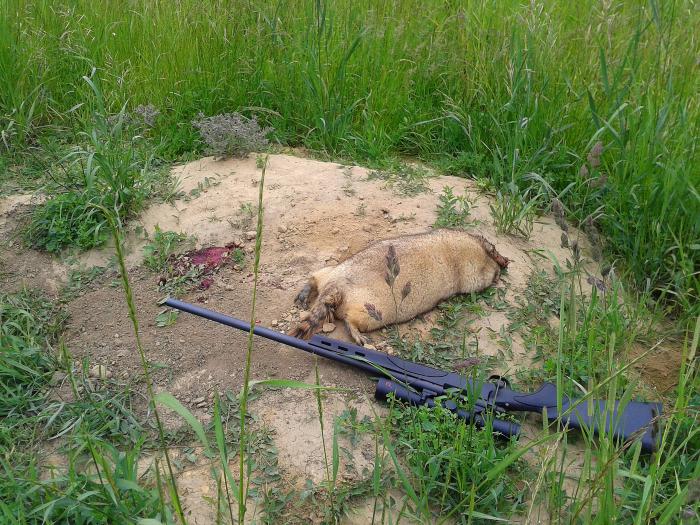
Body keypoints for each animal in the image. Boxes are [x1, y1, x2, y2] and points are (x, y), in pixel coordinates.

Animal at [289, 229, 509, 345]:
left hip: (333, 270)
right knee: (352, 319)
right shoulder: (474, 271)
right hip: (373, 310)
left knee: (317, 275)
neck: (480, 252)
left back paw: (305, 292)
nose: (499, 269)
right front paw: (499, 269)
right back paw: (359, 336)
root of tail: (336, 286)